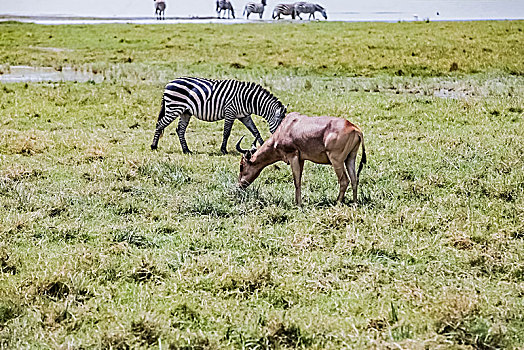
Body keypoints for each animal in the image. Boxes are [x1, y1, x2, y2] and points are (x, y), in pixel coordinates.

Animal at [149, 78, 288, 154]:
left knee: (180, 130)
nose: (282, 142)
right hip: (174, 108)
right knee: (160, 124)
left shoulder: (245, 116)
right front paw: (223, 150)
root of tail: (169, 84)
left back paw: (186, 150)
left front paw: (263, 146)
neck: (248, 100)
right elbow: (226, 132)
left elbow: (255, 131)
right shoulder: (230, 112)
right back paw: (154, 146)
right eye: (281, 125)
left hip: (185, 112)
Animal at [236, 112, 364, 205]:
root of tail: (354, 128)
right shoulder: (301, 159)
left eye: (242, 166)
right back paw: (355, 203)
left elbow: (296, 181)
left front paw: (298, 204)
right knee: (354, 179)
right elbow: (299, 180)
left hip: (336, 160)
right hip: (350, 158)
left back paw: (337, 203)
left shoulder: (293, 156)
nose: (239, 186)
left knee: (344, 180)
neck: (287, 127)